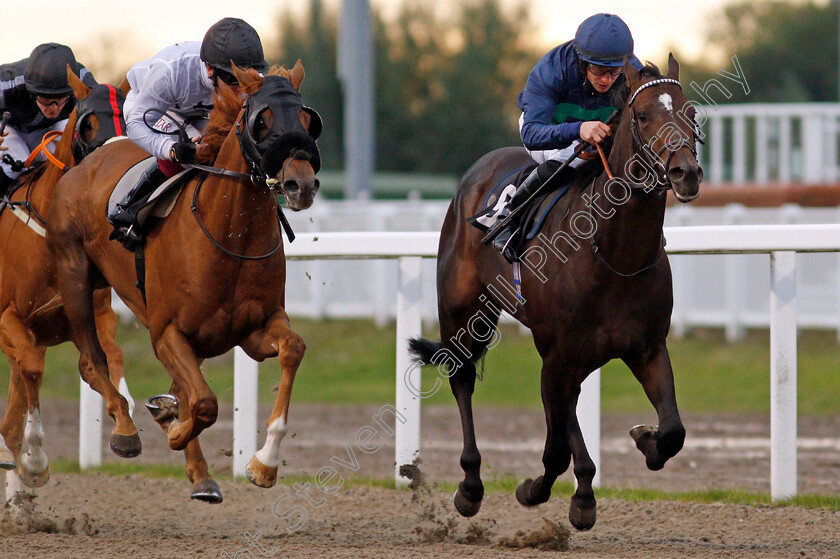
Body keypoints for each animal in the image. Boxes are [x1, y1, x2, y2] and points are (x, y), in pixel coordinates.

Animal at [0, 69, 131, 498]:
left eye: (127, 121)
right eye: (89, 124)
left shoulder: (93, 315)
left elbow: (109, 358)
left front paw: (126, 423)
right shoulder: (8, 321)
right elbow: (33, 368)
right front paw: (35, 460)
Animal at [46, 63, 322, 500]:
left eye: (308, 121)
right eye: (262, 121)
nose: (302, 184)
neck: (229, 237)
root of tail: (87, 162)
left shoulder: (255, 331)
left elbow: (293, 348)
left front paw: (264, 463)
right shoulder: (167, 333)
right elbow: (204, 403)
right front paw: (174, 429)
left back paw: (194, 461)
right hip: (75, 275)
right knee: (92, 361)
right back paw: (128, 432)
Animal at [408, 55, 704, 528]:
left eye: (690, 112)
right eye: (642, 116)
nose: (685, 172)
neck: (614, 255)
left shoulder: (646, 347)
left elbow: (673, 431)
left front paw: (645, 440)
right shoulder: (557, 353)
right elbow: (554, 449)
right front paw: (535, 490)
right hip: (463, 314)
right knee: (463, 378)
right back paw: (470, 486)